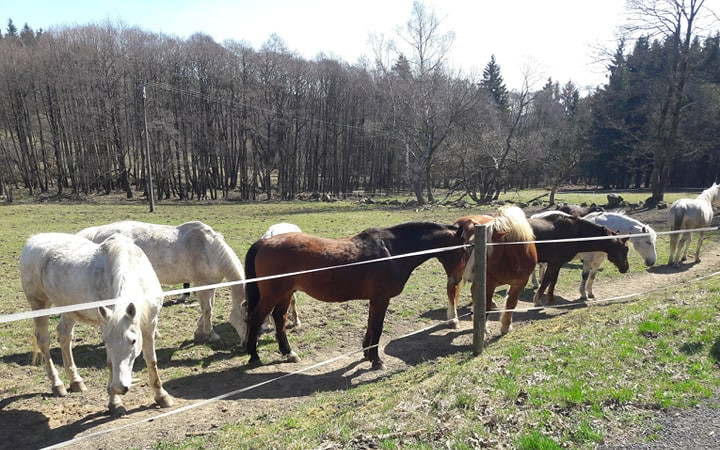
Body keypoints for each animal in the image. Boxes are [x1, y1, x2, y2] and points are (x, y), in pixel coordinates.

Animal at [20, 234, 173, 416]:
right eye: (106, 342)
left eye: (133, 341)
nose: (119, 387)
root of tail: (32, 240)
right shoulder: (105, 324)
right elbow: (110, 364)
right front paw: (115, 402)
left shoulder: (149, 323)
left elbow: (151, 360)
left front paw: (161, 396)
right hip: (39, 304)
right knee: (44, 341)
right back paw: (57, 384)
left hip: (68, 311)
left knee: (64, 336)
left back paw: (76, 381)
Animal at [77, 220, 248, 346]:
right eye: (246, 319)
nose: (246, 345)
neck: (208, 249)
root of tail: (97, 233)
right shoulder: (200, 284)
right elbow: (207, 310)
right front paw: (211, 335)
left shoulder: (210, 285)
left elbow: (208, 308)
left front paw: (199, 331)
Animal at [243, 221, 466, 370]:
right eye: (463, 251)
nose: (456, 280)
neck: (392, 251)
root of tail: (263, 243)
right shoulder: (381, 299)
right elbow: (377, 327)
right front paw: (376, 360)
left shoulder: (375, 300)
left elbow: (371, 325)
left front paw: (367, 352)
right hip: (273, 294)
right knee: (256, 318)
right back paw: (254, 356)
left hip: (285, 293)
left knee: (279, 319)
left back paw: (288, 353)